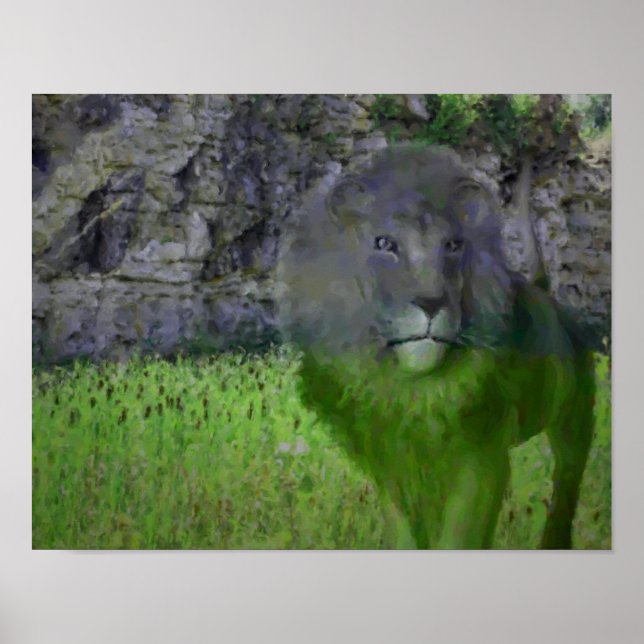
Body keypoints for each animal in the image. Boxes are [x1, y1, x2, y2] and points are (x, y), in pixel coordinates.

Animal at [276, 145, 595, 549]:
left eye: (453, 245)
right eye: (384, 244)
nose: (431, 304)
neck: (409, 390)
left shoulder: (483, 459)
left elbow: (459, 536)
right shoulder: (392, 461)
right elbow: (403, 533)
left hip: (576, 420)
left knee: (568, 480)